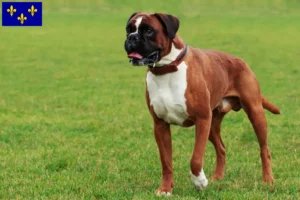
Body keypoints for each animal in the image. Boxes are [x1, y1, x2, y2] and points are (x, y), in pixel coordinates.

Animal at [123, 11, 280, 195]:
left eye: (148, 31)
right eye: (128, 29)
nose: (131, 38)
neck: (167, 69)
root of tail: (241, 61)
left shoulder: (202, 119)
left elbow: (196, 159)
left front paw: (199, 182)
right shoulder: (160, 125)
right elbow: (166, 161)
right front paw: (166, 189)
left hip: (254, 114)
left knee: (264, 149)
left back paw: (268, 180)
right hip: (212, 125)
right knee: (221, 149)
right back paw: (218, 177)